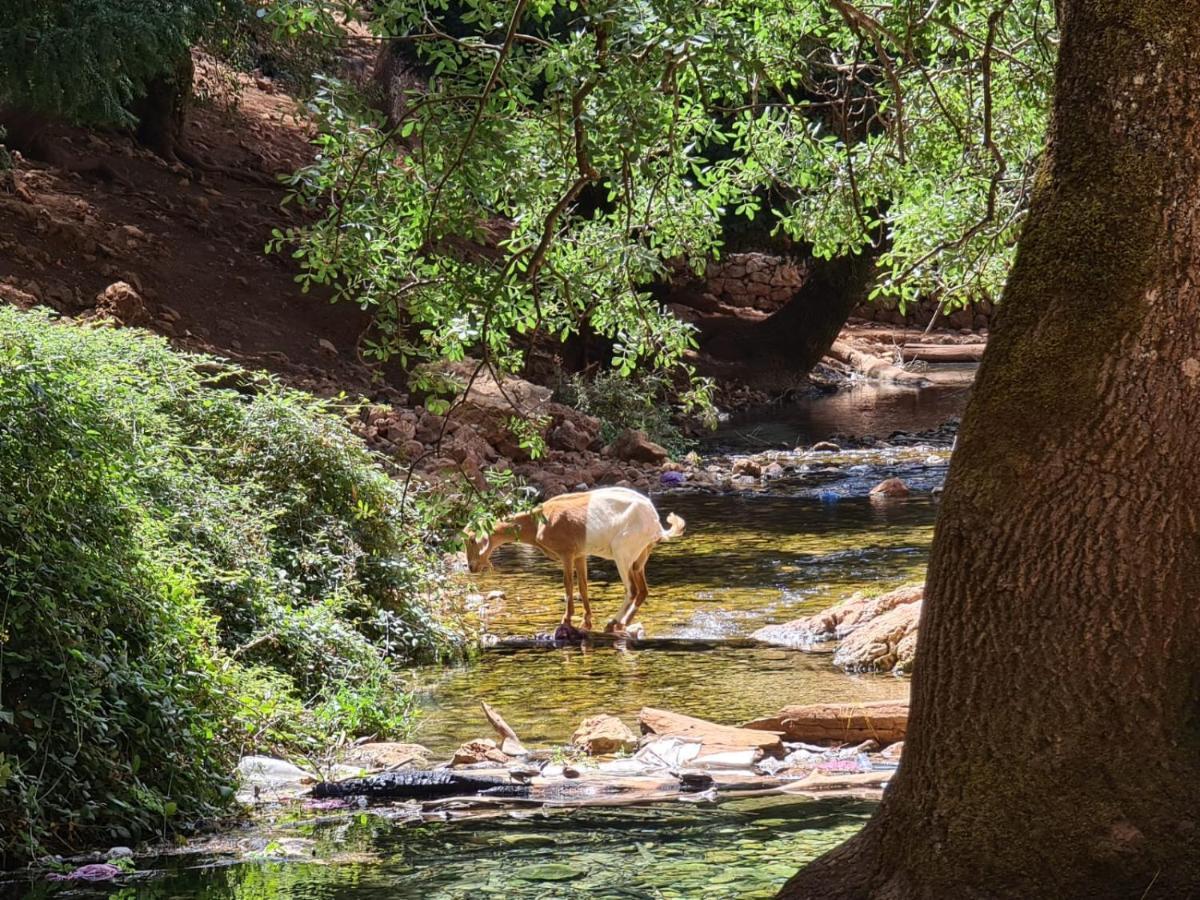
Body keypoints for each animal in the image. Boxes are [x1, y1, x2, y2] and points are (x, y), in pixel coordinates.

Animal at [465, 487, 686, 633]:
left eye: (471, 540)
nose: (471, 567)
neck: (537, 523)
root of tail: (656, 525)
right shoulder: (580, 554)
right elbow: (583, 586)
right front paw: (586, 621)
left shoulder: (567, 553)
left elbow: (568, 585)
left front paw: (566, 620)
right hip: (640, 556)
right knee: (642, 590)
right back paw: (622, 623)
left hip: (622, 551)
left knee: (631, 589)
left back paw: (612, 622)